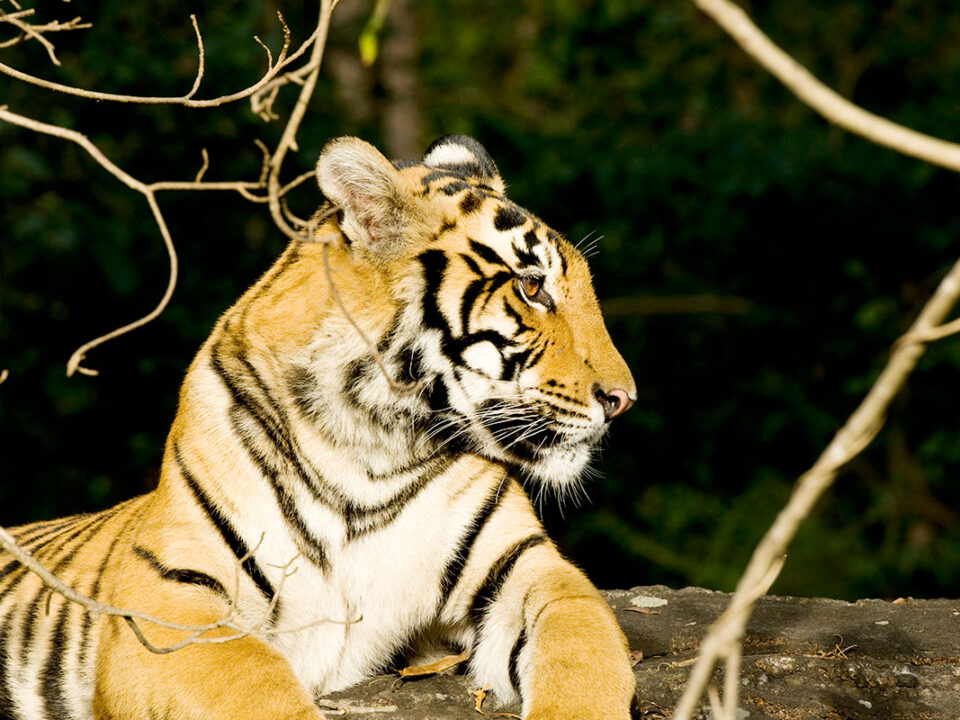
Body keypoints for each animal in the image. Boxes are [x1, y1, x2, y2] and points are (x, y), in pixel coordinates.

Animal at [0, 135, 638, 720]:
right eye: (532, 287)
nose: (623, 400)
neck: (371, 447)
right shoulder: (167, 601)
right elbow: (256, 690)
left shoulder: (528, 568)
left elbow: (583, 649)